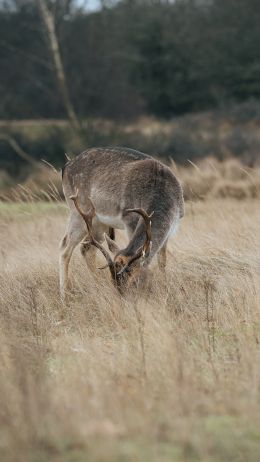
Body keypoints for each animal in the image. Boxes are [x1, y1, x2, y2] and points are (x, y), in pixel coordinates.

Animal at [59, 146, 185, 302]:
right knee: (65, 246)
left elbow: (162, 261)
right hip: (77, 210)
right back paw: (64, 296)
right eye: (114, 281)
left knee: (87, 248)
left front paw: (165, 288)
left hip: (98, 222)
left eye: (133, 281)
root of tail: (65, 166)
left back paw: (98, 286)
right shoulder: (130, 219)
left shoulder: (171, 229)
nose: (123, 299)